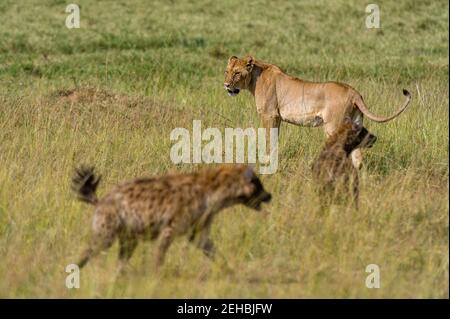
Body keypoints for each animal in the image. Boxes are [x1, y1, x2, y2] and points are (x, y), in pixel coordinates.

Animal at [222, 56, 412, 169]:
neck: (255, 77)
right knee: (357, 155)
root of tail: (354, 92)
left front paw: (266, 162)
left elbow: (268, 138)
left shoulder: (269, 115)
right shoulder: (277, 118)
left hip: (333, 126)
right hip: (356, 123)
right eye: (226, 71)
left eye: (237, 73)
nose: (226, 85)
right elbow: (275, 139)